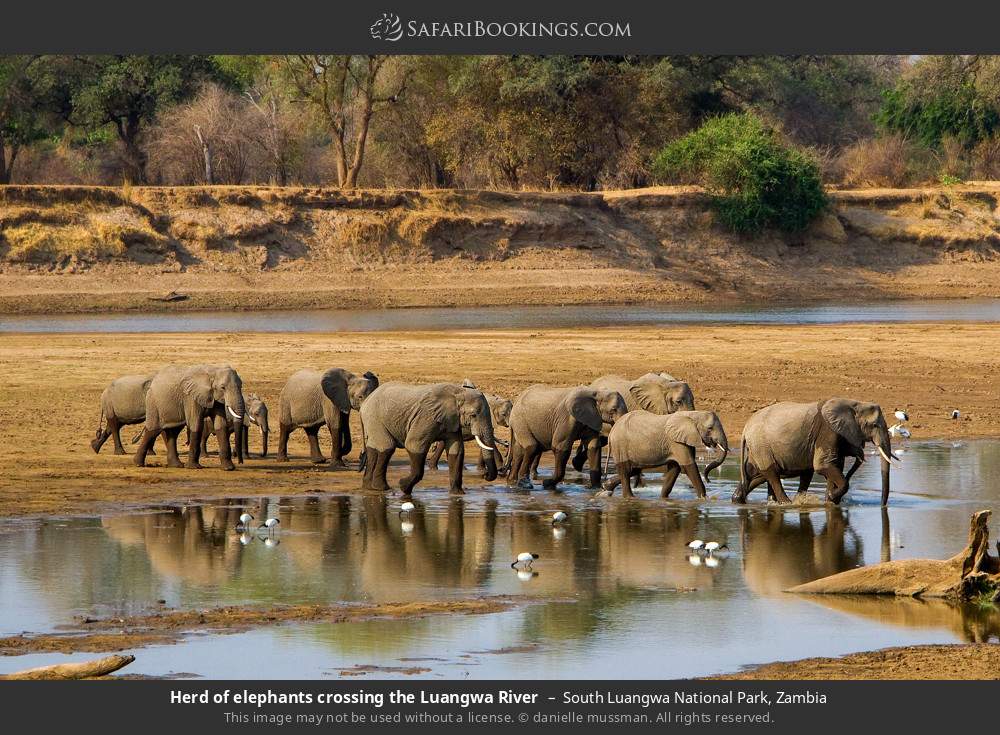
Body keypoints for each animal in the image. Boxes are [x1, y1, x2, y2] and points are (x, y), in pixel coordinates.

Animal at [359, 382, 500, 496]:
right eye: (473, 415)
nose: (485, 475)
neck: (458, 392)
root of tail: (366, 401)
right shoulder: (426, 417)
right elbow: (414, 445)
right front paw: (403, 487)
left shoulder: (452, 421)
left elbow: (456, 451)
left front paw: (458, 494)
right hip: (374, 417)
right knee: (387, 446)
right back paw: (382, 488)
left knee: (374, 447)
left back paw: (369, 487)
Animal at [731, 398, 898, 506]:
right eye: (875, 425)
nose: (883, 505)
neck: (854, 404)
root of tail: (745, 428)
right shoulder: (828, 432)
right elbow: (823, 466)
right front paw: (831, 497)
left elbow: (834, 466)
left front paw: (830, 501)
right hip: (761, 445)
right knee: (771, 473)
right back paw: (787, 503)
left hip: (758, 447)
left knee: (756, 473)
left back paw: (739, 499)